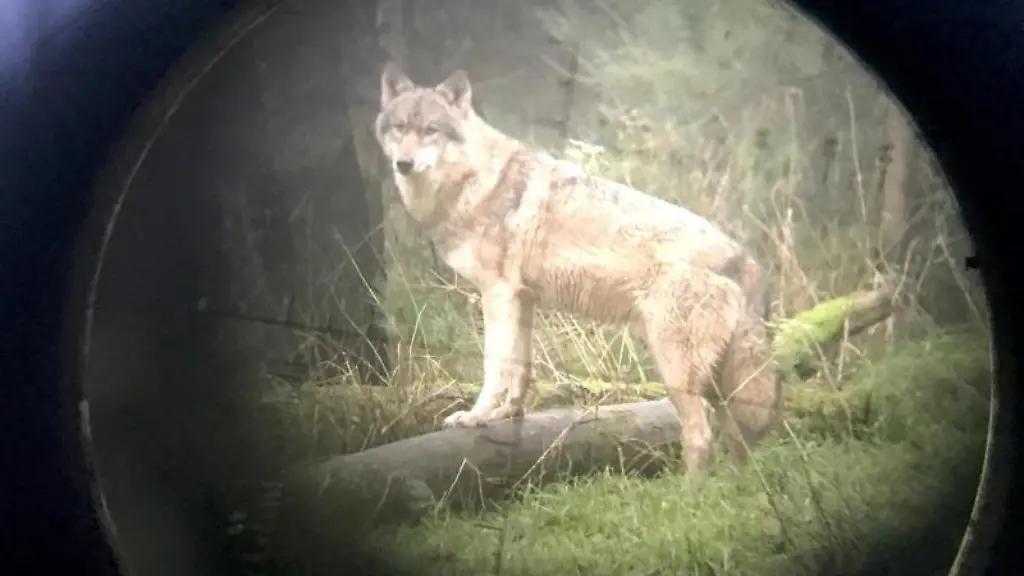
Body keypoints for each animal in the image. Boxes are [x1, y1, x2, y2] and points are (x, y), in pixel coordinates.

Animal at [373, 62, 781, 473]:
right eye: (400, 128)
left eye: (431, 130)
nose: (403, 164)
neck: (474, 181)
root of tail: (746, 259)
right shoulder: (523, 299)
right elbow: (521, 368)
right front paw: (508, 414)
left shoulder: (497, 294)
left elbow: (495, 367)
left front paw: (476, 417)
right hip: (716, 386)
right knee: (737, 442)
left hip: (675, 371)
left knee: (700, 437)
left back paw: (689, 490)